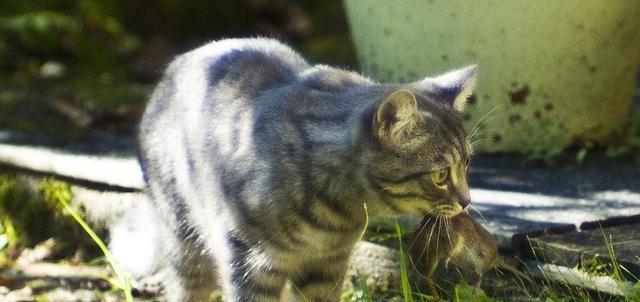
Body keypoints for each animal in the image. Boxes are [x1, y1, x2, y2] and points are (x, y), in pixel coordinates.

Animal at [120, 37, 472, 302]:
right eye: (441, 175)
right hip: (183, 236)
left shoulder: (327, 266)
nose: (467, 201)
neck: (337, 215)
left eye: (467, 165)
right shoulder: (250, 264)